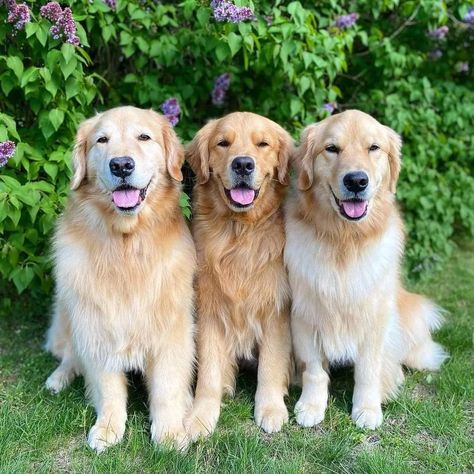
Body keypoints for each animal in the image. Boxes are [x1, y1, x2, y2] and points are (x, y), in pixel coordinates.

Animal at [45, 105, 196, 450]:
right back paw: (58, 378)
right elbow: (108, 388)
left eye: (144, 137)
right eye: (102, 140)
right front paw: (108, 428)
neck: (126, 245)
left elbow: (168, 387)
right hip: (67, 313)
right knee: (69, 355)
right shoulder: (95, 324)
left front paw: (169, 432)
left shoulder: (171, 330)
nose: (122, 164)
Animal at [184, 112, 292, 440]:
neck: (240, 230)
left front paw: (270, 409)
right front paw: (201, 416)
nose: (243, 164)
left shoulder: (276, 310)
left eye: (263, 144)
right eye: (223, 143)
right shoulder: (208, 310)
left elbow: (270, 366)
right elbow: (208, 372)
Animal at [286, 110, 448, 430]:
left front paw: (367, 408)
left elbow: (368, 370)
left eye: (373, 148)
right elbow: (314, 369)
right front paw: (311, 405)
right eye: (331, 148)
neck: (345, 240)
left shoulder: (375, 317)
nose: (356, 181)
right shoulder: (304, 314)